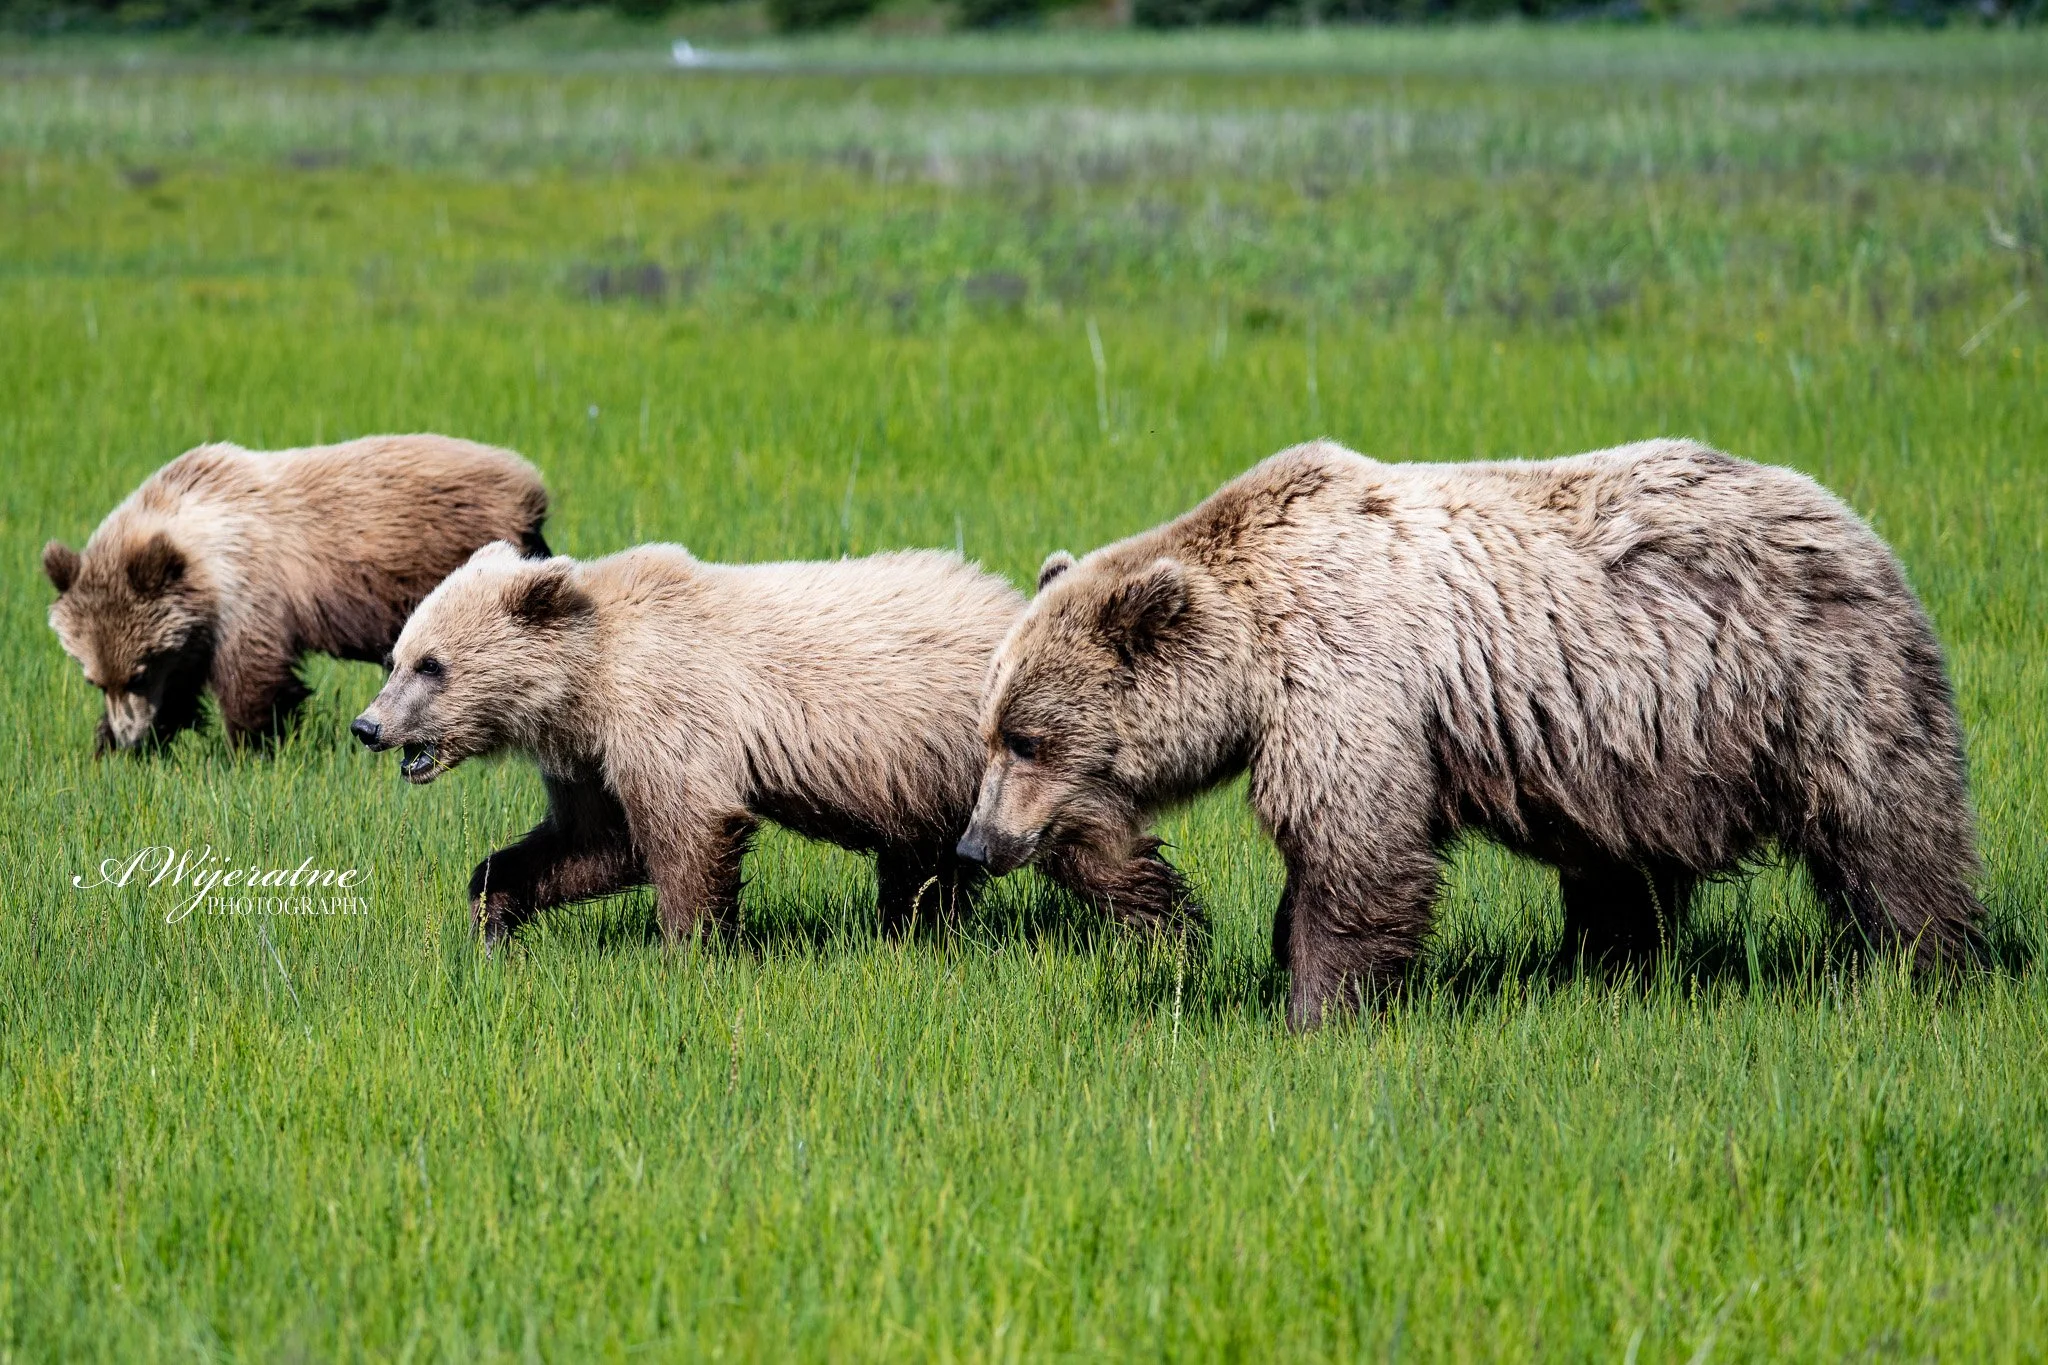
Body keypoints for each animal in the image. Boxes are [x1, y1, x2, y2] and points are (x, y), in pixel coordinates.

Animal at [43, 434, 550, 753]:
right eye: (94, 679)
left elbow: (254, 682)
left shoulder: (249, 591)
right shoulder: (193, 632)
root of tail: (531, 489)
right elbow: (183, 686)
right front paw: (115, 748)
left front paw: (255, 746)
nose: (129, 735)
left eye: (139, 673)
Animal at [349, 539, 1196, 945]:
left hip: (1016, 752)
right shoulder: (592, 756)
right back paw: (918, 934)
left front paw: (691, 948)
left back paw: (1170, 933)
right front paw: (494, 911)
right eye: (396, 656)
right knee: (927, 864)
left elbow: (688, 834)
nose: (368, 726)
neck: (586, 682)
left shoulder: (669, 712)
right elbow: (594, 842)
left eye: (431, 664)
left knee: (1086, 844)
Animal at [956, 438, 1985, 1029]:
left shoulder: (1350, 679)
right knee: (1623, 868)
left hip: (1815, 681)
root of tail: (1854, 521)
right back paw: (1602, 971)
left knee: (1889, 828)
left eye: (1028, 738)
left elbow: (1356, 849)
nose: (978, 842)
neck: (1251, 654)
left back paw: (1932, 965)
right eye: (993, 729)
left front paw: (1317, 1007)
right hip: (1639, 741)